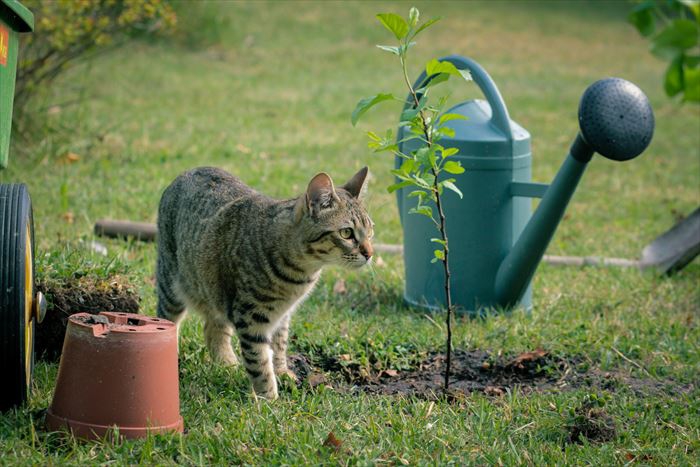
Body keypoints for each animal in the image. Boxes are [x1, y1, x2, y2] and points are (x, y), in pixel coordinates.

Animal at [157, 166, 374, 400]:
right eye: (346, 233)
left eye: (370, 231)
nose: (370, 254)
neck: (300, 276)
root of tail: (188, 171)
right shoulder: (250, 316)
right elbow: (259, 360)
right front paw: (269, 398)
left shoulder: (282, 315)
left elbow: (279, 346)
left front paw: (281, 373)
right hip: (171, 285)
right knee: (167, 320)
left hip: (215, 292)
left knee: (213, 329)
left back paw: (227, 365)